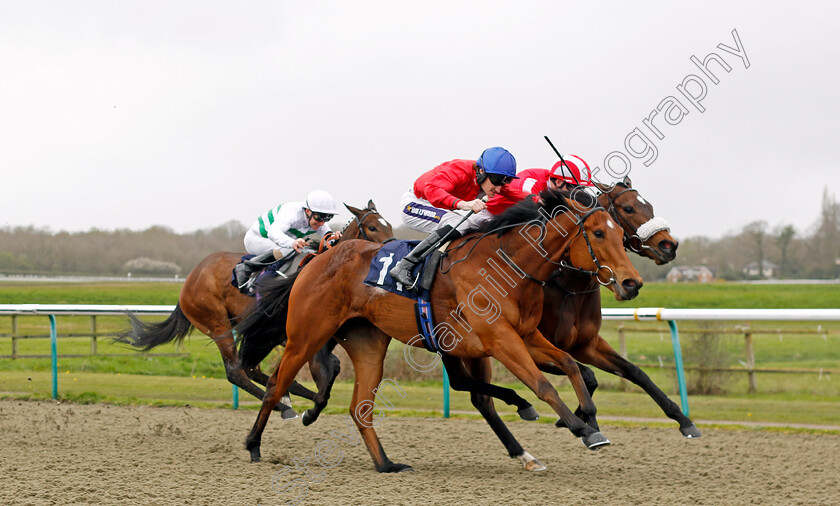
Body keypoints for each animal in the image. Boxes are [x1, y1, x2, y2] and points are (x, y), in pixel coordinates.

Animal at [115, 200, 394, 418]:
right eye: (372, 227)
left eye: (389, 225)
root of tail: (190, 279)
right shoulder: (300, 337)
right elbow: (325, 369)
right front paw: (310, 405)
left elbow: (331, 367)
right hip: (217, 324)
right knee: (236, 371)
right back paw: (283, 406)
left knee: (251, 368)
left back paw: (286, 402)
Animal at [236, 190, 644, 470]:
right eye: (597, 233)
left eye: (618, 234)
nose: (632, 283)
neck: (508, 265)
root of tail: (320, 256)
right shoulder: (501, 339)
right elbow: (542, 385)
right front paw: (581, 427)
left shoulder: (527, 336)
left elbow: (572, 365)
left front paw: (588, 417)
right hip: (306, 335)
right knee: (275, 386)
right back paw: (254, 444)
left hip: (368, 342)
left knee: (360, 407)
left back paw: (387, 464)